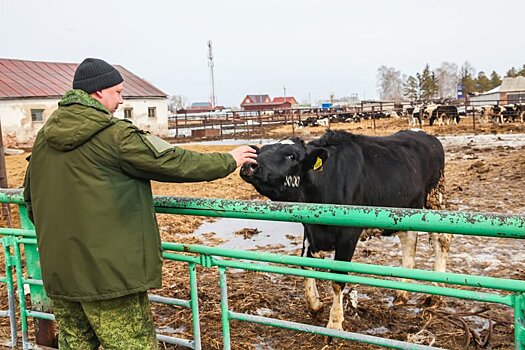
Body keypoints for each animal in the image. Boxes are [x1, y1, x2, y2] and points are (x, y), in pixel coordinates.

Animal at [241, 130, 450, 332]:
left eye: (291, 155)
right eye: (260, 151)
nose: (249, 165)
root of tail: (427, 137)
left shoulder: (348, 234)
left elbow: (337, 278)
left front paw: (334, 323)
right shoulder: (310, 229)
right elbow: (306, 265)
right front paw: (315, 305)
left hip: (434, 201)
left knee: (441, 240)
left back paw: (436, 293)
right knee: (409, 238)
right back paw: (401, 293)